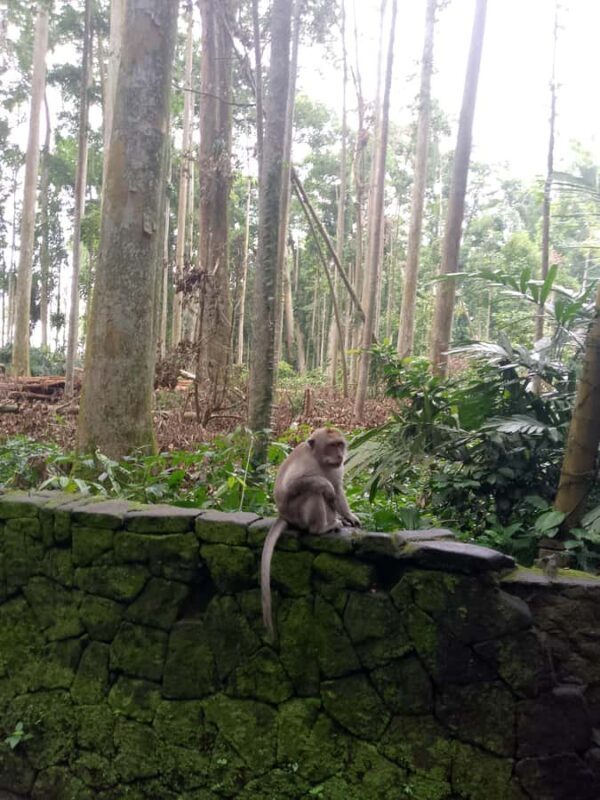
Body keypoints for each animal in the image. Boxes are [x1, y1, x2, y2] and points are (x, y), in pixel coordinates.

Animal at [261, 427, 360, 637]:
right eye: (332, 445)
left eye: (340, 444)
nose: (340, 455)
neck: (320, 459)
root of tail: (284, 515)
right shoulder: (305, 463)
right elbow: (293, 486)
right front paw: (325, 485)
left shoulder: (337, 468)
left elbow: (337, 489)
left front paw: (350, 516)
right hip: (297, 514)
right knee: (313, 492)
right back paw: (321, 528)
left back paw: (335, 521)